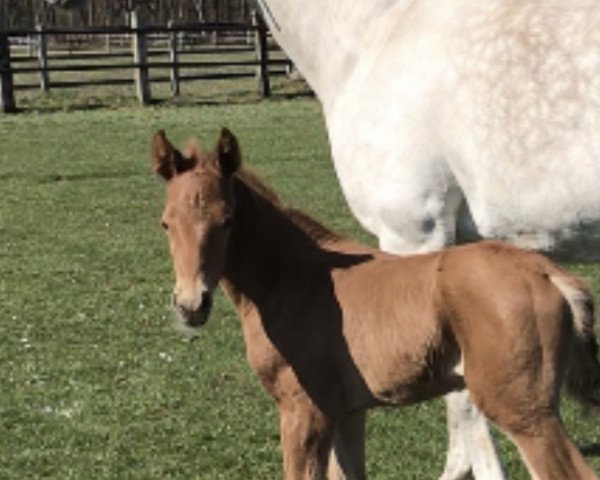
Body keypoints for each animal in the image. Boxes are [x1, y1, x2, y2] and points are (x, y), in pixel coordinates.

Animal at [150, 128, 600, 480]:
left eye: (227, 221)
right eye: (166, 223)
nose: (191, 304)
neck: (292, 278)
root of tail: (549, 274)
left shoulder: (303, 411)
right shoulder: (347, 413)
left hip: (525, 412)